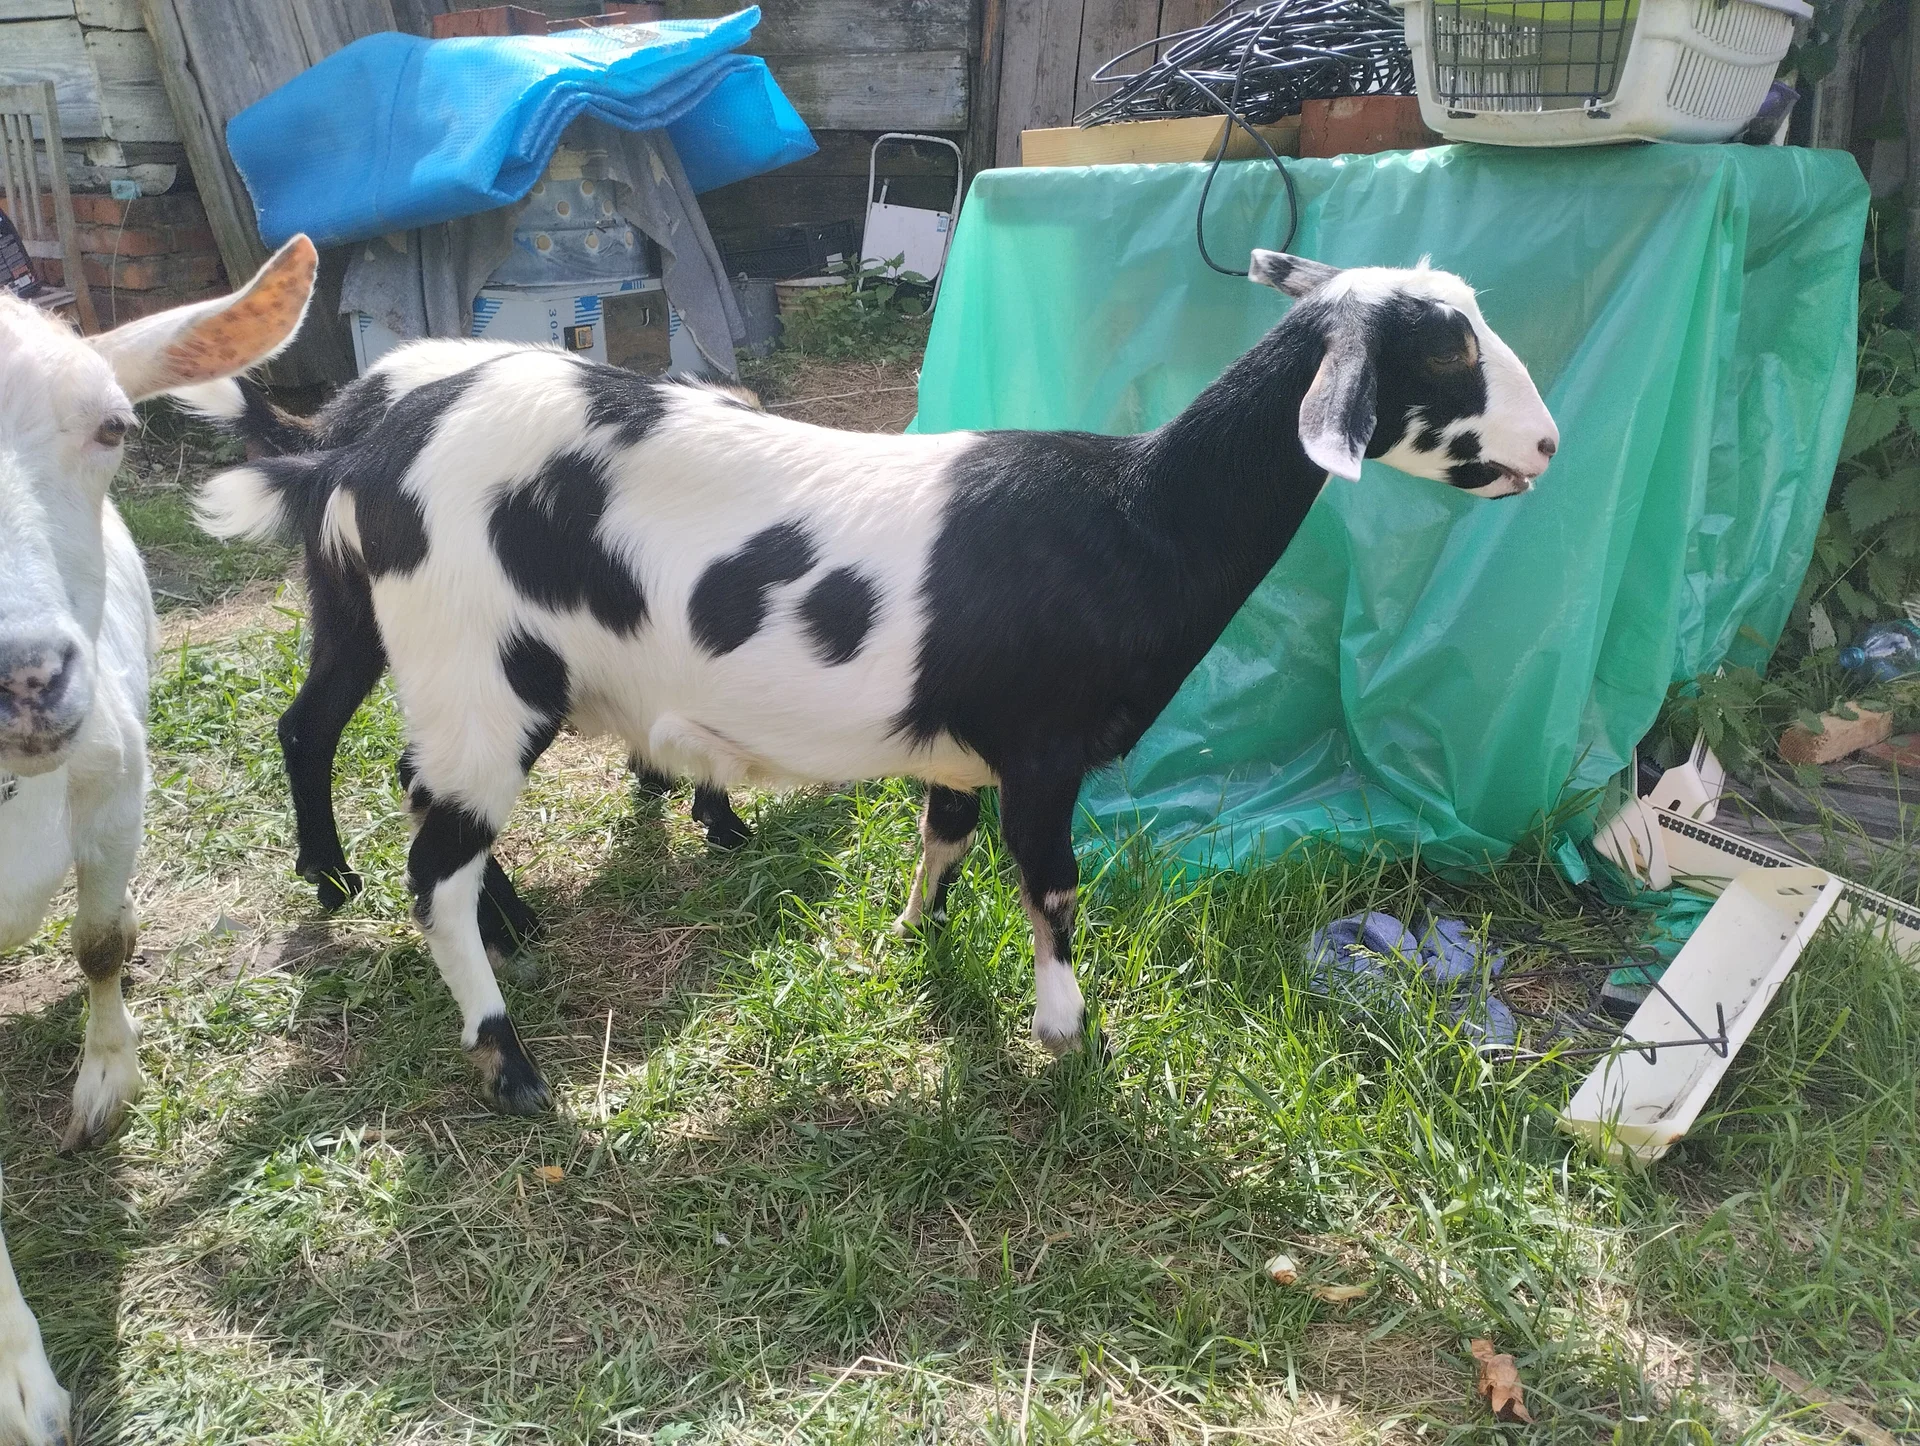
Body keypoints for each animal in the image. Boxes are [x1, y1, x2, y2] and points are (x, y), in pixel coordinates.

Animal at [0, 237, 316, 1446]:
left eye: (112, 427)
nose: (26, 678)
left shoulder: (117, 781)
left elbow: (101, 943)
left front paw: (106, 1083)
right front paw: (20, 1381)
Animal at [177, 348, 752, 956]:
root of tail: (341, 444)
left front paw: (662, 781)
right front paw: (719, 820)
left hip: (354, 620)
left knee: (307, 727)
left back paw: (330, 877)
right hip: (491, 667)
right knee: (425, 779)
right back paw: (507, 922)